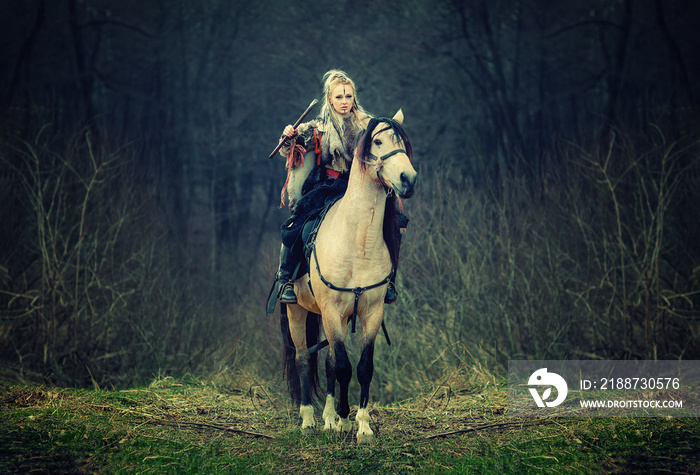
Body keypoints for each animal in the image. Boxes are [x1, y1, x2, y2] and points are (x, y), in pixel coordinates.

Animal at [278, 109, 412, 444]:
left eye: (403, 143)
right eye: (378, 141)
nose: (409, 179)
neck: (358, 241)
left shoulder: (371, 313)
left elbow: (362, 367)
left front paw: (360, 425)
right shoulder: (331, 310)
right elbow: (342, 366)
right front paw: (343, 419)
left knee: (325, 364)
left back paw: (327, 417)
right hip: (298, 311)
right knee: (304, 359)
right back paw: (308, 419)